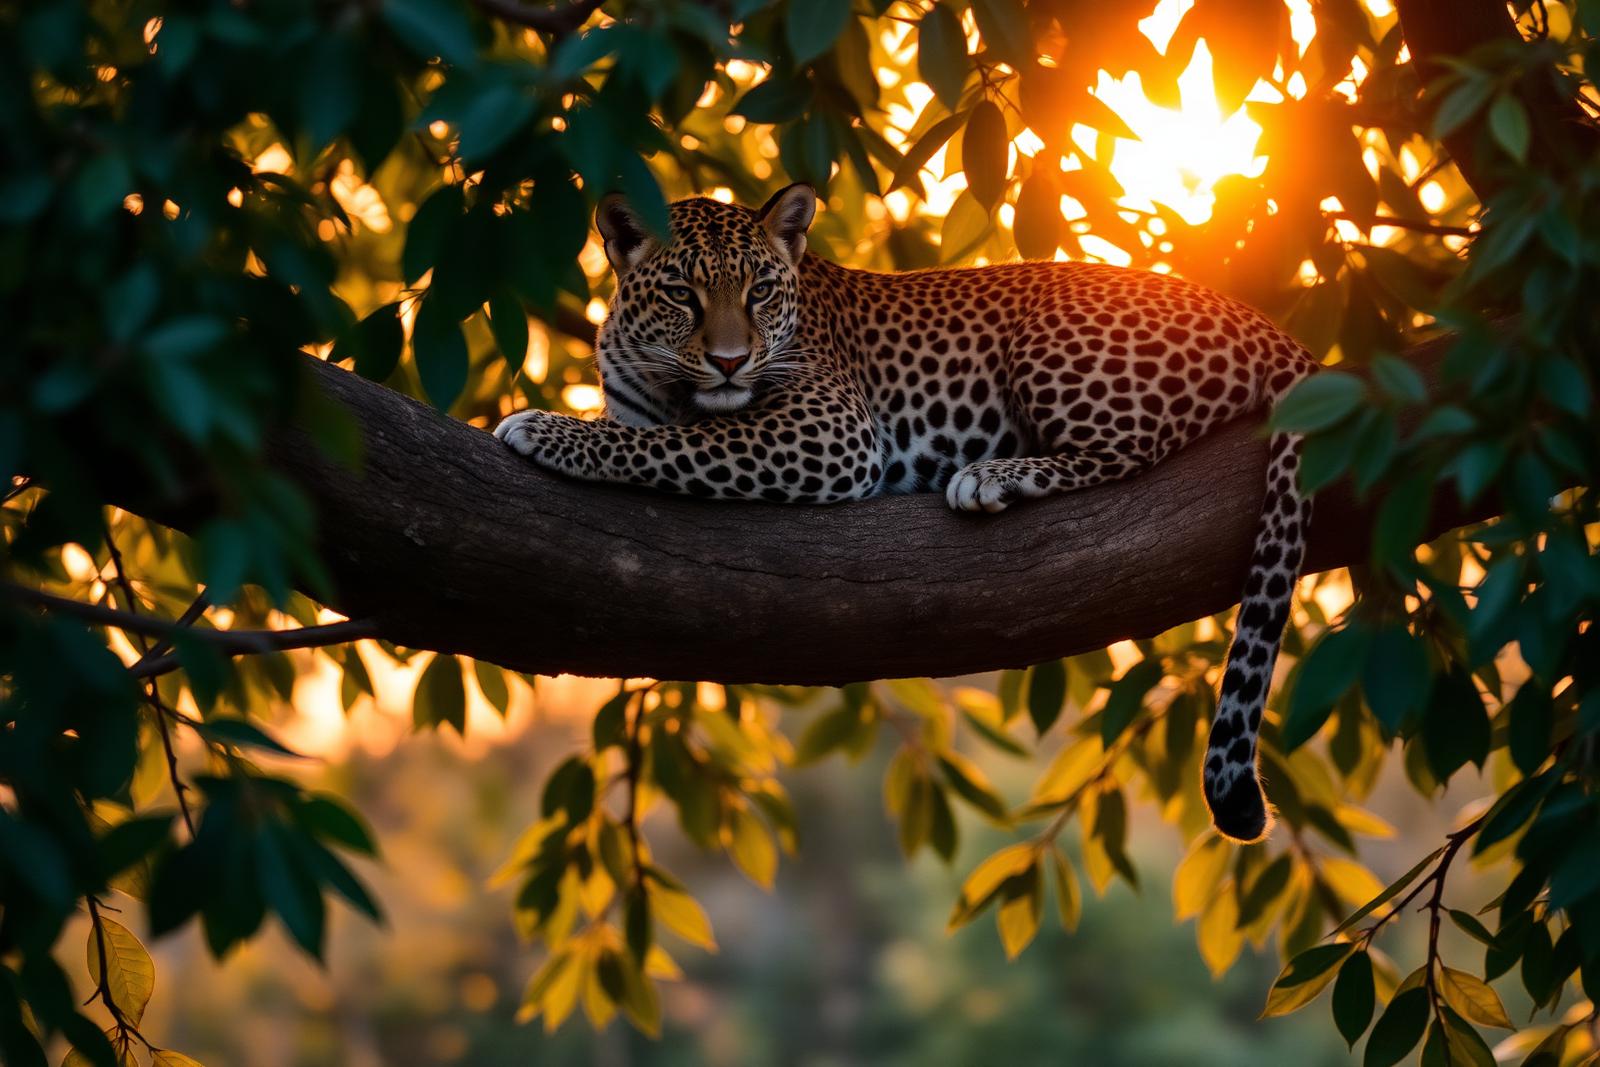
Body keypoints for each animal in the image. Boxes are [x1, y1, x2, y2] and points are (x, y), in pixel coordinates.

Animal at [494, 183, 1318, 843]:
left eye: (759, 291)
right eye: (680, 295)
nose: (730, 361)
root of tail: (1265, 324)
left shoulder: (830, 428)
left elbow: (671, 442)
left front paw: (546, 427)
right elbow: (658, 433)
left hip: (1051, 341)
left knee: (1129, 450)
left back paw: (989, 476)